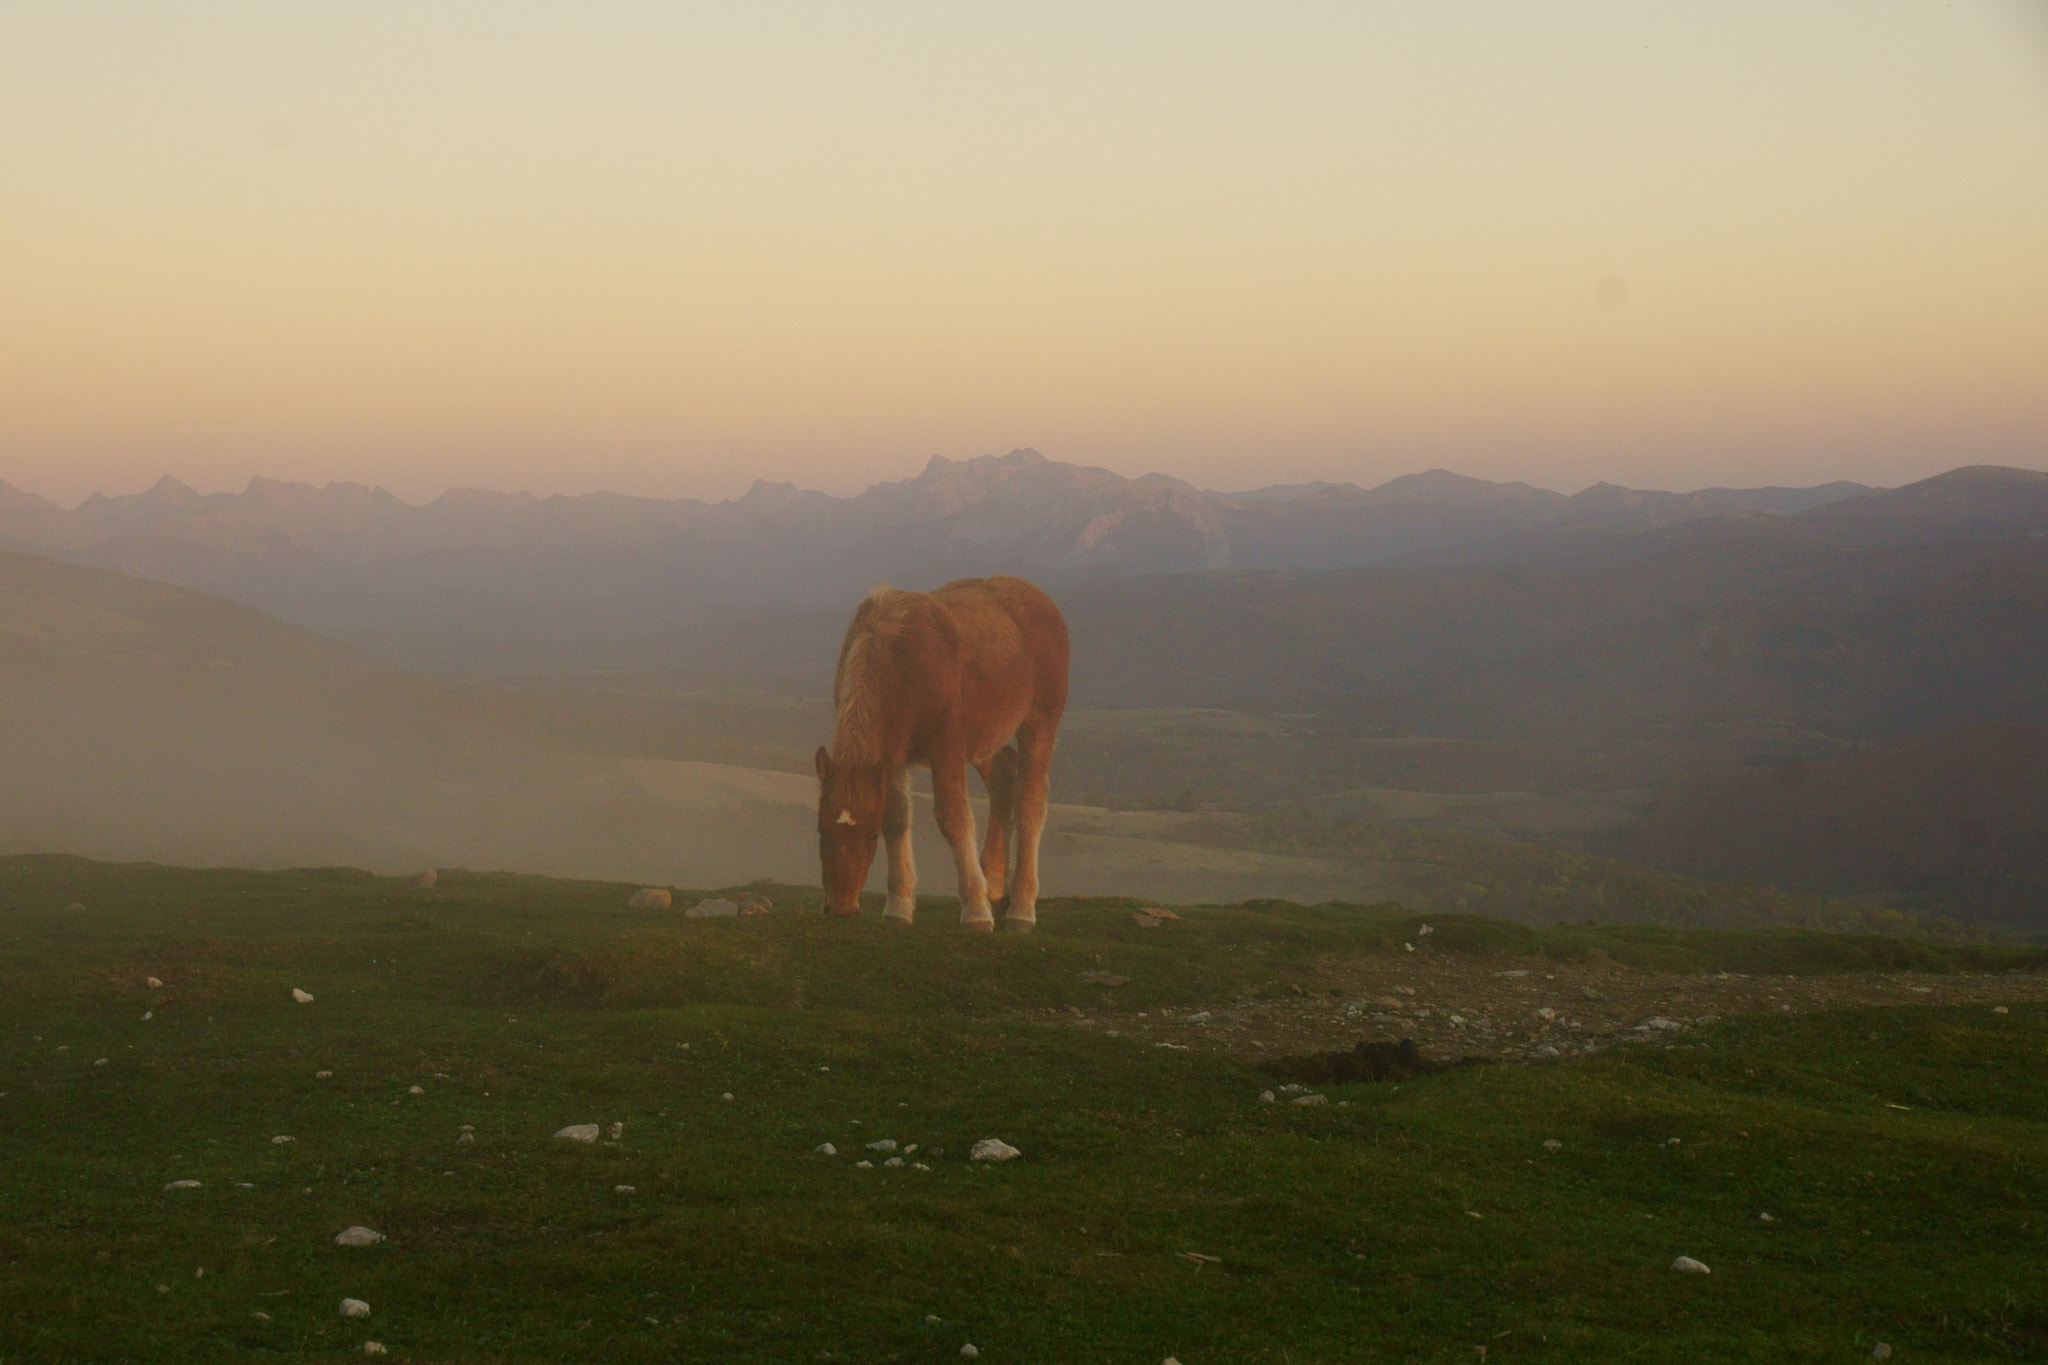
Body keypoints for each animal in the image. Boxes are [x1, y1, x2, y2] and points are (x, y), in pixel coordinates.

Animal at [814, 576, 1069, 932]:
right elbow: (897, 817)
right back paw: (995, 886)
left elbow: (954, 816)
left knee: (1030, 800)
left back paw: (1020, 908)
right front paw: (898, 907)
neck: (901, 659)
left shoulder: (946, 745)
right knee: (1004, 775)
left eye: (870, 835)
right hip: (981, 739)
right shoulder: (893, 754)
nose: (840, 908)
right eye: (821, 830)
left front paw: (975, 911)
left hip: (1039, 722)